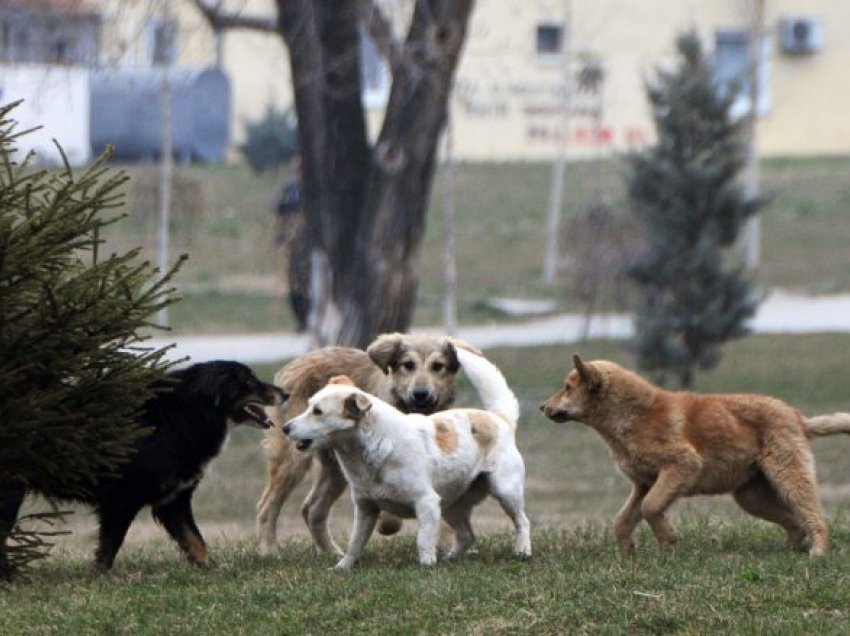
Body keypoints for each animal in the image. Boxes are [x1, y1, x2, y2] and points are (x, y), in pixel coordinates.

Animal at [0, 360, 284, 572]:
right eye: (248, 382)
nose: (285, 393)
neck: (182, 416)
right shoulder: (121, 500)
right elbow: (109, 548)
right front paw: (100, 577)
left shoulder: (173, 501)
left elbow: (195, 541)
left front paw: (210, 569)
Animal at [282, 348, 528, 572]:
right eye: (309, 405)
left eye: (317, 411)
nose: (285, 428)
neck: (370, 450)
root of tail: (499, 418)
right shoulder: (365, 508)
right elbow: (355, 543)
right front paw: (343, 567)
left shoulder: (426, 502)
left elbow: (423, 541)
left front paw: (426, 566)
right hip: (451, 506)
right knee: (467, 535)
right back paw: (451, 558)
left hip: (505, 491)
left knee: (522, 522)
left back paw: (522, 551)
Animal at [540, 358, 848, 556]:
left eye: (567, 387)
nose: (542, 407)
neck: (632, 416)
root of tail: (799, 418)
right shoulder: (644, 484)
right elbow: (623, 520)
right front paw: (629, 553)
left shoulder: (682, 465)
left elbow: (650, 508)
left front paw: (668, 541)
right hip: (751, 497)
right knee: (795, 522)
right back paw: (789, 551)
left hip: (788, 476)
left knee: (814, 516)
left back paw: (818, 552)